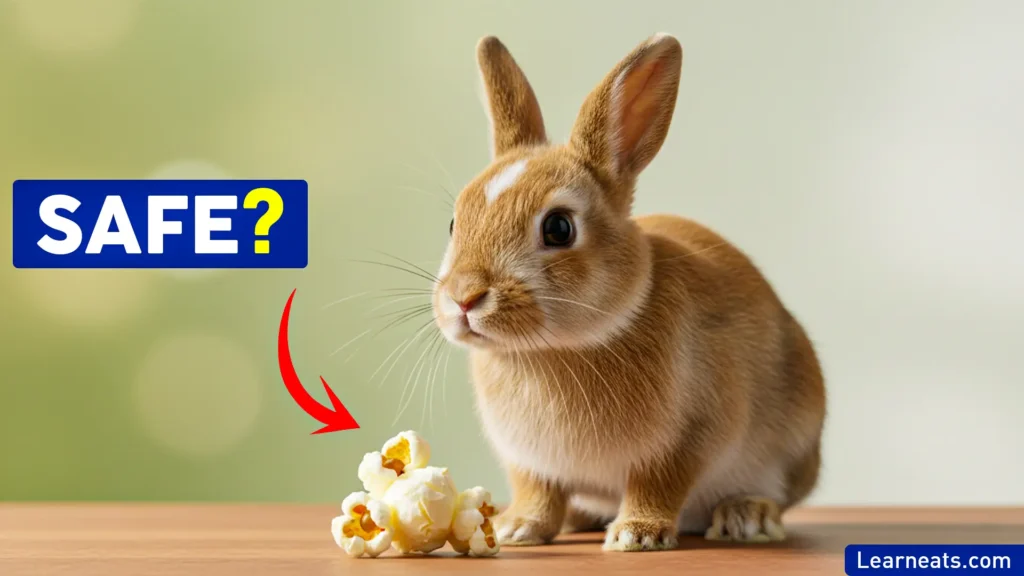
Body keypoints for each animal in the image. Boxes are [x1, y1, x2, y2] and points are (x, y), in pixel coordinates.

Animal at [431, 33, 826, 552]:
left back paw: (747, 517)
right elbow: (538, 493)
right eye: (454, 222)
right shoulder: (531, 464)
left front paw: (637, 535)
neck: (551, 351)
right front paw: (517, 529)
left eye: (559, 228)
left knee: (777, 497)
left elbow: (657, 484)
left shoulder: (684, 441)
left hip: (792, 444)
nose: (464, 297)